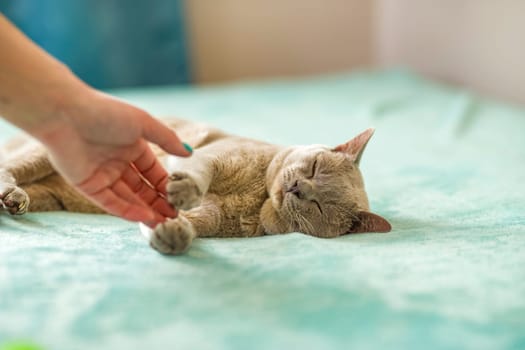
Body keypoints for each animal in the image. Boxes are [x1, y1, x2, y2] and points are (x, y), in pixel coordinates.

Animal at [1, 117, 388, 254]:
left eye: (319, 205)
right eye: (314, 167)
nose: (297, 188)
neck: (257, 197)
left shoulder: (211, 219)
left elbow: (184, 221)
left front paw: (172, 234)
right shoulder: (208, 157)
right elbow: (195, 176)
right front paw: (182, 191)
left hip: (52, 195)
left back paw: (13, 201)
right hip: (44, 155)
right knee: (6, 166)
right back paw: (9, 192)